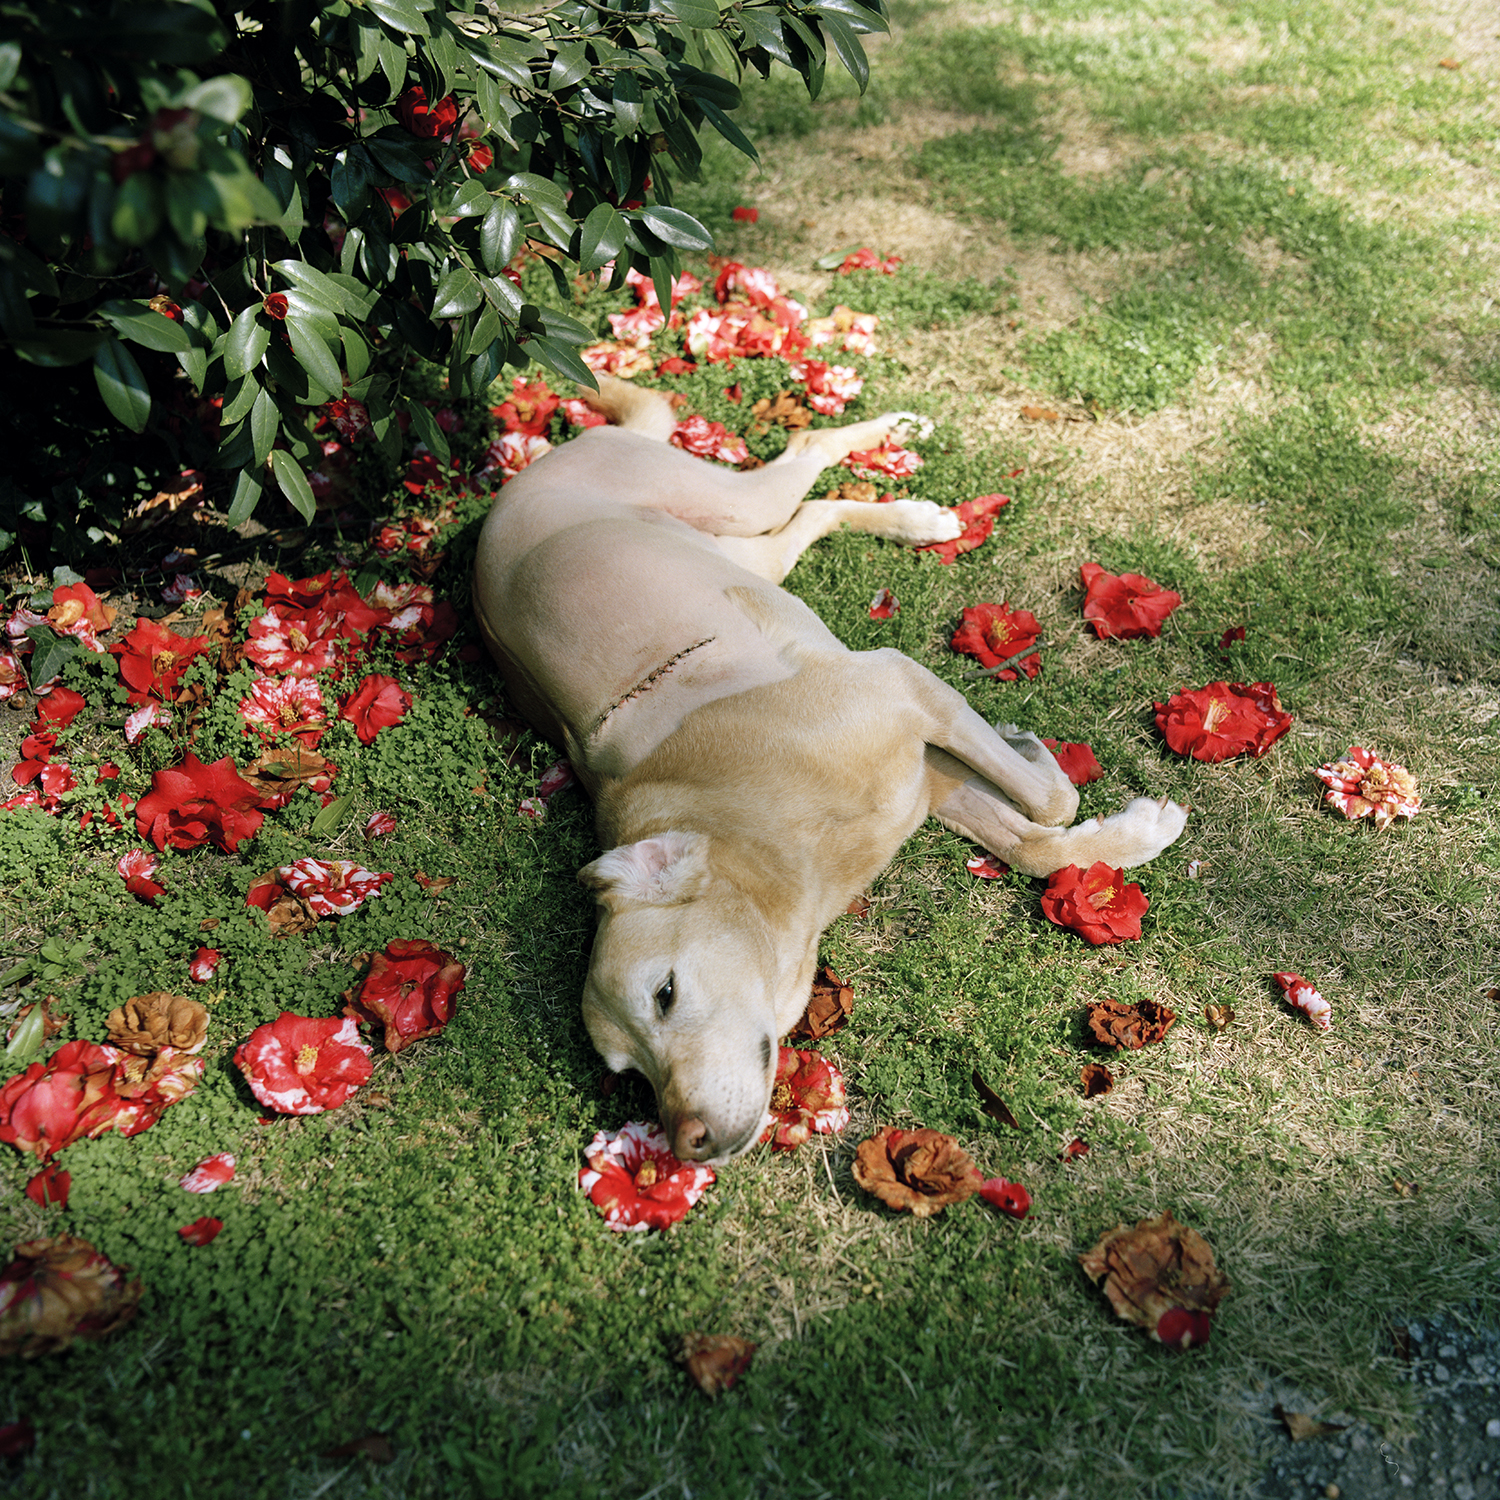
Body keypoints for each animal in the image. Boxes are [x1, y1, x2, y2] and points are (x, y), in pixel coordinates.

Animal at [474, 381, 1188, 1164]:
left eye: (664, 994)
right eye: (628, 1072)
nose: (687, 1143)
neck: (763, 832)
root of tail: (546, 463)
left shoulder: (909, 692)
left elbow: (1051, 806)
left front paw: (1046, 762)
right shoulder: (927, 773)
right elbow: (1035, 840)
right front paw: (1131, 831)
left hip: (730, 502)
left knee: (807, 449)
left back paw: (899, 461)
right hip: (747, 554)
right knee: (812, 507)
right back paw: (913, 519)